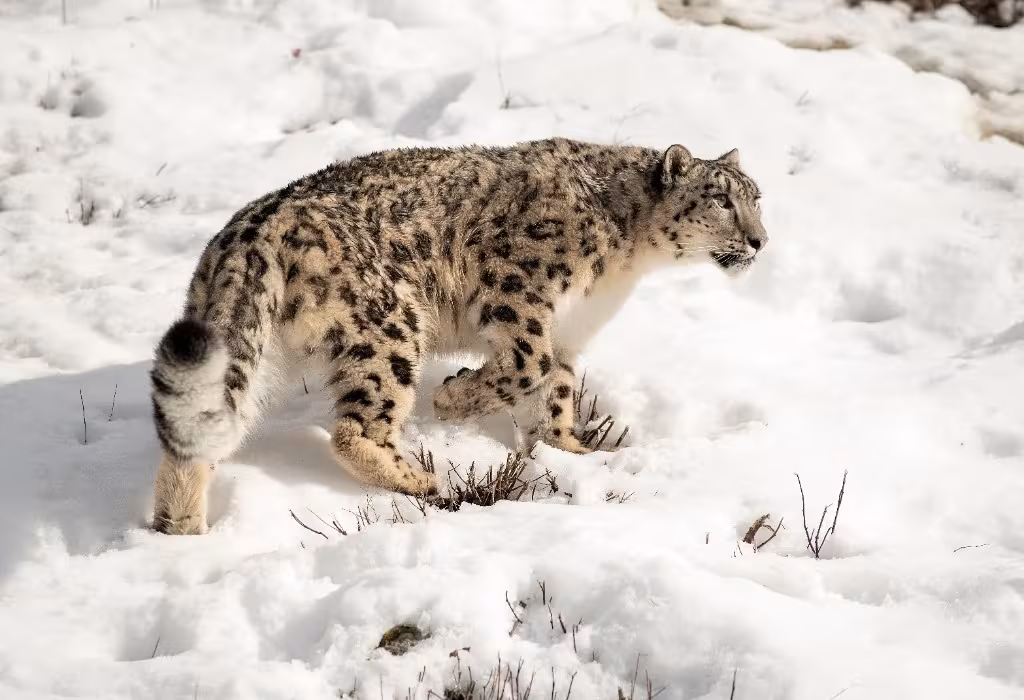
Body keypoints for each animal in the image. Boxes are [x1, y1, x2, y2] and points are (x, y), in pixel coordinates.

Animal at [149, 137, 767, 534]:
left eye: (757, 197)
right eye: (721, 200)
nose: (760, 241)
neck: (627, 260)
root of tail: (250, 232)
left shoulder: (569, 330)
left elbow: (557, 390)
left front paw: (571, 454)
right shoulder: (520, 287)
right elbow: (530, 364)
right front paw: (453, 398)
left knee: (195, 432)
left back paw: (180, 527)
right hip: (391, 326)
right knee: (354, 428)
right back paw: (423, 479)